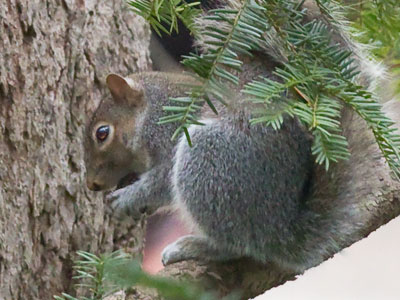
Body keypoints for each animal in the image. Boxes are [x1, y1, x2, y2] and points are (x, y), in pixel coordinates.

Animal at [84, 0, 388, 272]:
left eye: (102, 133)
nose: (92, 184)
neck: (152, 108)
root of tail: (281, 230)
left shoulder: (167, 133)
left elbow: (160, 182)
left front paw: (127, 198)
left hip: (208, 160)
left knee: (236, 245)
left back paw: (194, 246)